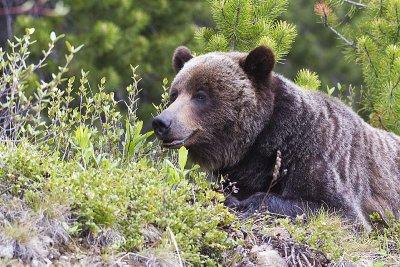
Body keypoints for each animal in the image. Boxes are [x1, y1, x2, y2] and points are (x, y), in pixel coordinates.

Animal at [152, 45, 400, 229]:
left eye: (200, 95)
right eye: (175, 94)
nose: (161, 123)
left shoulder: (320, 157)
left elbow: (339, 213)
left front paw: (245, 203)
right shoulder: (244, 173)